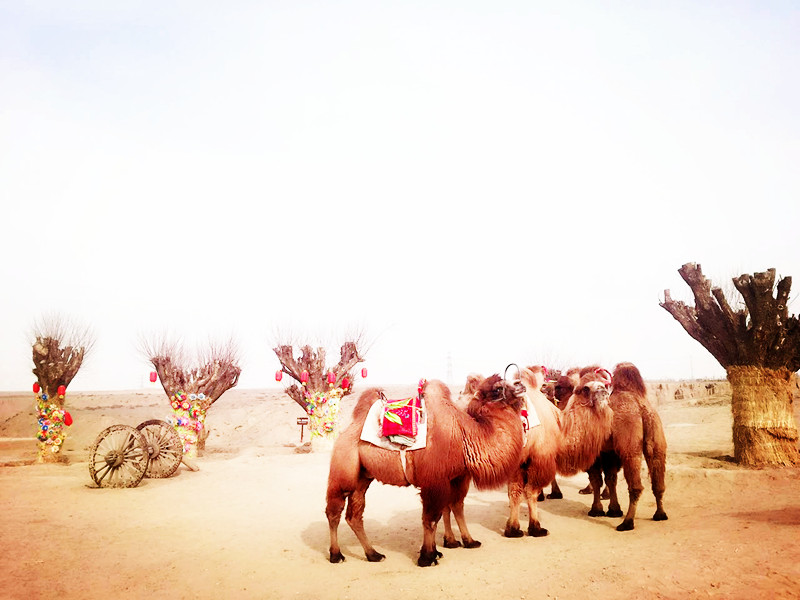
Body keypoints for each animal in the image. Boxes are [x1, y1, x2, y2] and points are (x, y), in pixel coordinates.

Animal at [324, 376, 524, 568]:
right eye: (498, 388)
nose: (520, 384)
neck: (465, 436)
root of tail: (347, 430)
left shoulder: (457, 478)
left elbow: (456, 507)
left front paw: (465, 543)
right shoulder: (434, 482)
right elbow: (431, 519)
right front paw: (427, 557)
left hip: (363, 477)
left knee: (354, 515)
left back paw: (373, 555)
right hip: (343, 470)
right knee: (334, 511)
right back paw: (336, 555)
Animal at [588, 360, 668, 528]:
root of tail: (643, 411)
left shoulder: (597, 453)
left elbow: (596, 480)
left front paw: (596, 510)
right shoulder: (610, 452)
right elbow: (610, 479)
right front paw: (613, 510)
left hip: (629, 449)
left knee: (635, 486)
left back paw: (627, 522)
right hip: (657, 436)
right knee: (658, 482)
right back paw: (660, 514)